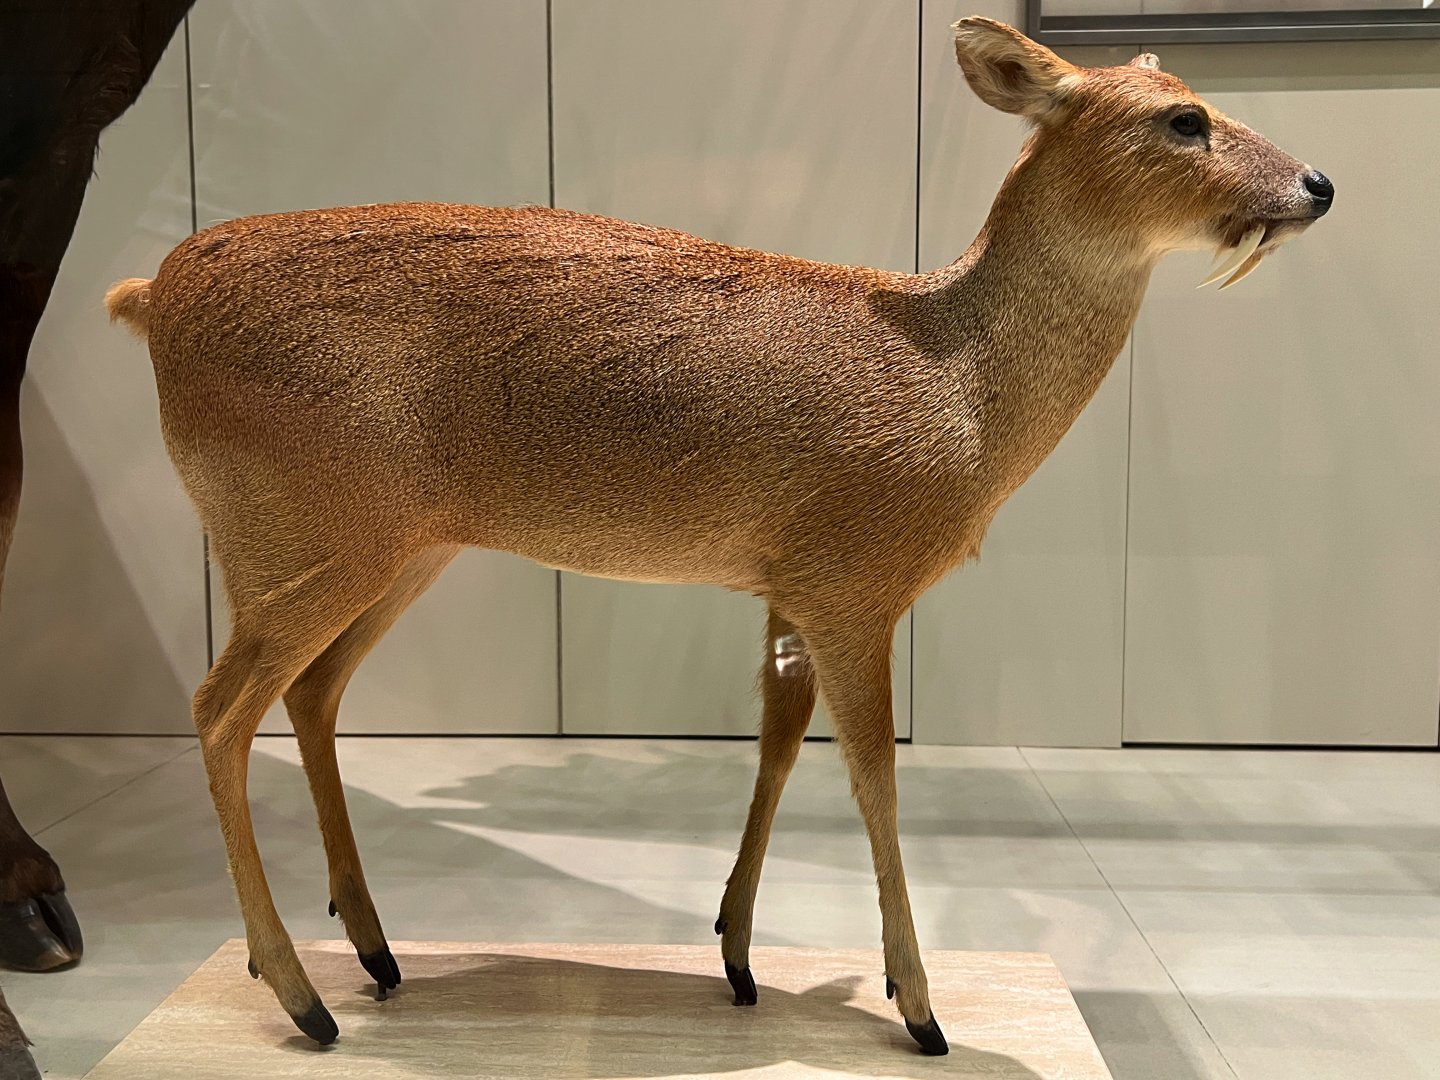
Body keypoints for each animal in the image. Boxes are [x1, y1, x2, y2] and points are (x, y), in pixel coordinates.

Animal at [103, 17, 1330, 1057]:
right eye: (1183, 117)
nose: (1318, 183)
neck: (959, 386)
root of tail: (145, 297)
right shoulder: (855, 583)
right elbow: (878, 774)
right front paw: (919, 1007)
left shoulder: (787, 585)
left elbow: (778, 745)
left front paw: (739, 956)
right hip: (304, 538)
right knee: (220, 708)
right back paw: (299, 995)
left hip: (395, 550)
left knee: (311, 693)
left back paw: (373, 950)